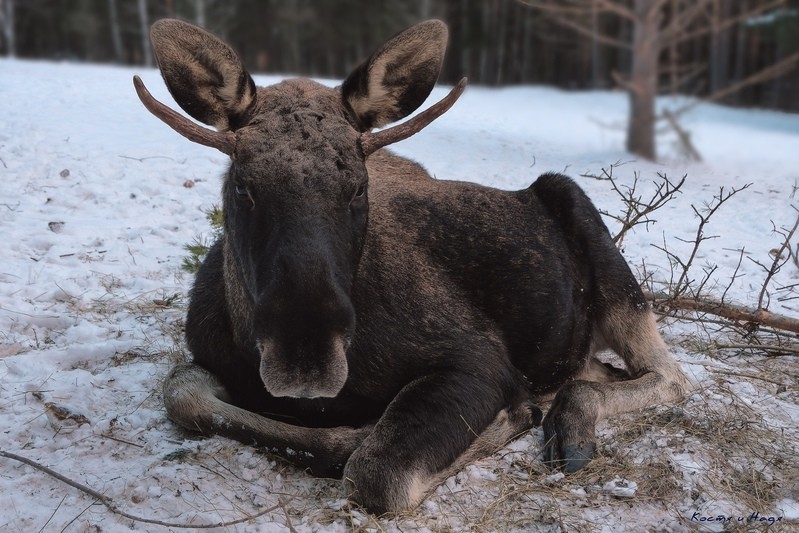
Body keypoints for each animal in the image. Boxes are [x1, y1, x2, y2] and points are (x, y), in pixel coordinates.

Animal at [134, 19, 692, 512]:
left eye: (359, 186)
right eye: (243, 186)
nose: (305, 354)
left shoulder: (478, 364)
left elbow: (374, 473)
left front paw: (514, 416)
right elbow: (183, 393)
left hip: (600, 248)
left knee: (669, 376)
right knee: (597, 372)